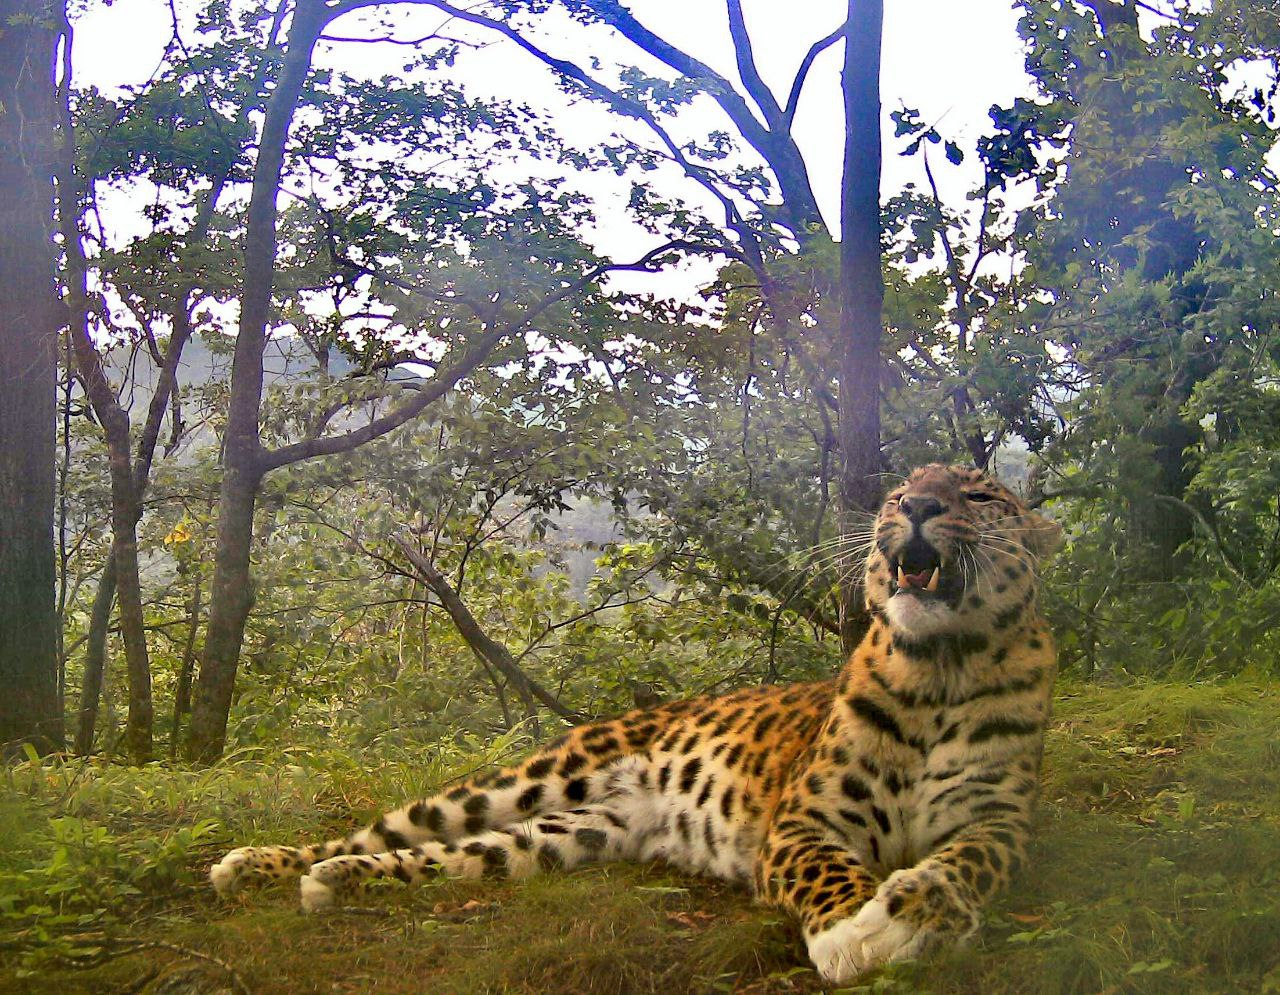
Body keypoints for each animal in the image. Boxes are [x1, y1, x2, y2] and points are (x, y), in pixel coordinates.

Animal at [215, 461, 1064, 983]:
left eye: (981, 498)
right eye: (899, 493)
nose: (914, 507)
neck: (940, 668)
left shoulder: (998, 817)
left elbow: (968, 863)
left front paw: (912, 908)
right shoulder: (804, 819)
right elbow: (827, 869)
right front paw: (857, 925)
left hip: (561, 838)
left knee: (442, 857)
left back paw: (338, 883)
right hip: (523, 778)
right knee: (380, 828)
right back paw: (255, 863)